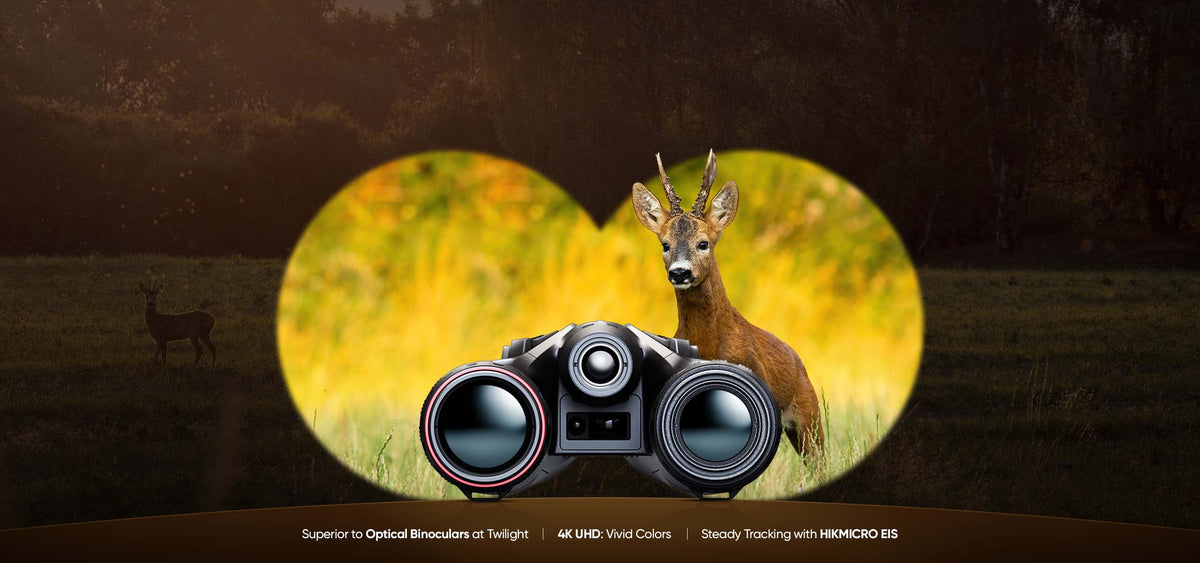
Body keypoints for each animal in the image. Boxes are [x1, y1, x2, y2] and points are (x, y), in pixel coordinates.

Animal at [631, 151, 824, 458]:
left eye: (703, 243)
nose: (679, 272)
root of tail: (798, 360)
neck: (710, 343)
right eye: (664, 244)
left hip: (810, 415)